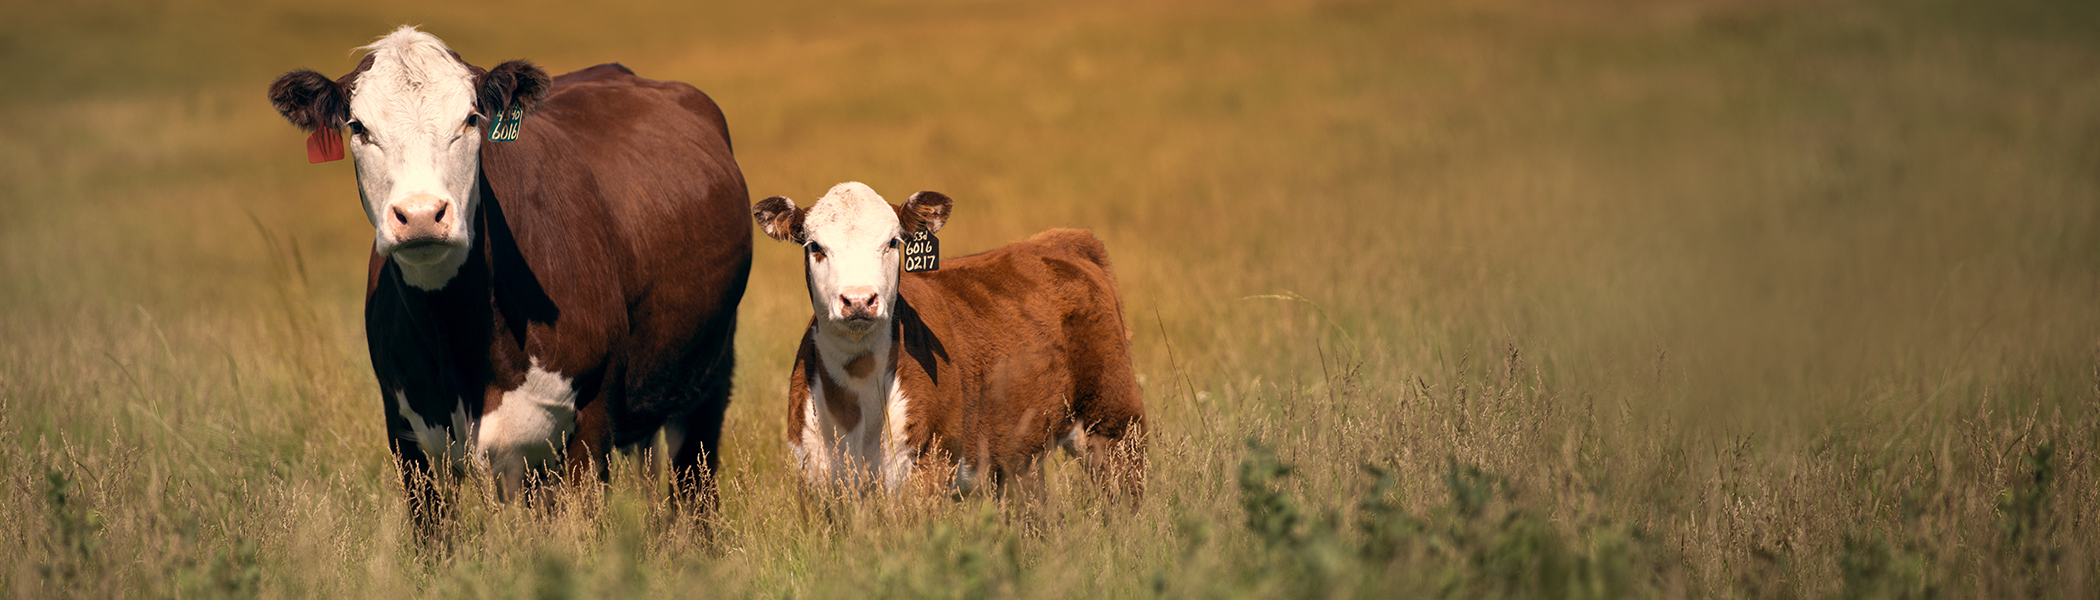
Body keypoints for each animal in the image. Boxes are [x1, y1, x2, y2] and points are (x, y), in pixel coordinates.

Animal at [266, 26, 751, 529]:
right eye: (358, 127)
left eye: (470, 120)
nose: (420, 215)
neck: (461, 337)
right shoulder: (407, 436)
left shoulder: (591, 418)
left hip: (707, 382)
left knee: (695, 492)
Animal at [750, 182, 1145, 509]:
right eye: (815, 246)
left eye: (893, 242)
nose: (859, 299)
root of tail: (1063, 239)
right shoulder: (814, 475)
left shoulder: (928, 463)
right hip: (1020, 450)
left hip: (1114, 420)